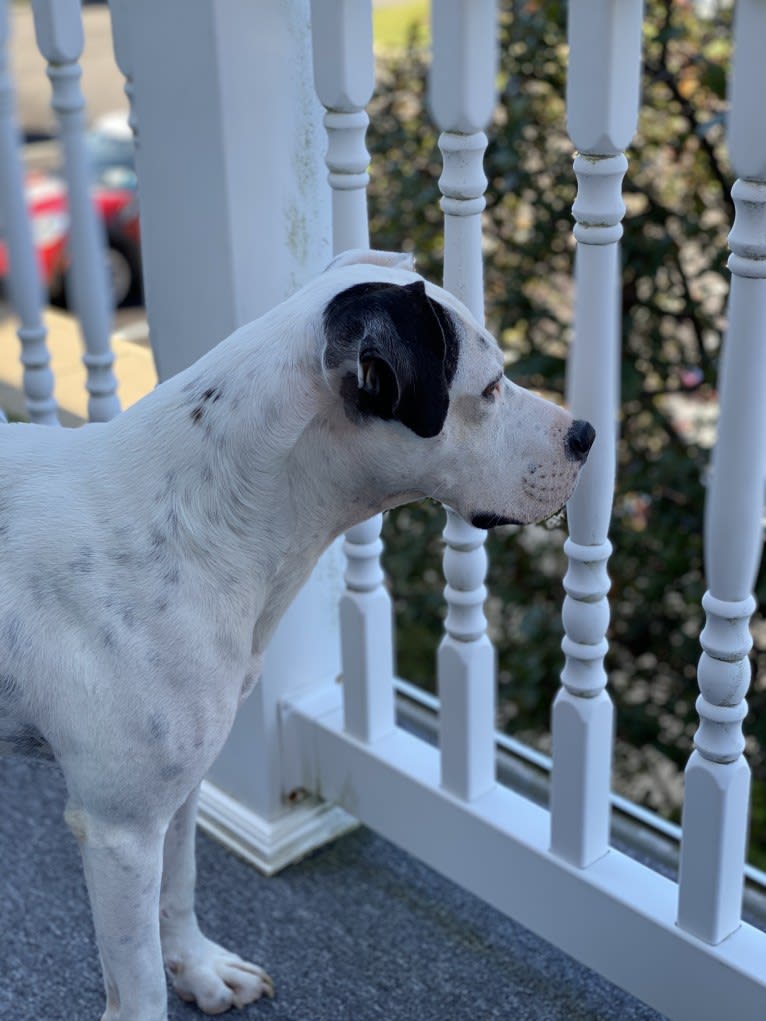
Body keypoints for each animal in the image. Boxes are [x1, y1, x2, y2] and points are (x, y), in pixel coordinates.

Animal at [0, 251, 592, 1016]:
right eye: (489, 388)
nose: (586, 435)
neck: (199, 519)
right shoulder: (118, 831)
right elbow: (140, 989)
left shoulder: (174, 794)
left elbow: (180, 887)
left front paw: (199, 968)